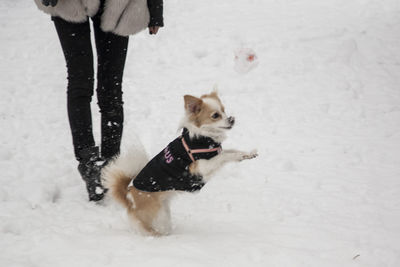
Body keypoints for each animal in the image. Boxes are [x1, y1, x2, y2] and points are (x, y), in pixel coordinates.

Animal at [102, 92, 256, 237]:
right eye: (215, 115)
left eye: (224, 110)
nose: (232, 118)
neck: (202, 137)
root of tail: (129, 198)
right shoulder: (200, 167)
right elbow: (225, 156)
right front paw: (239, 155)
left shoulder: (214, 155)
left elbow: (232, 151)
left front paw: (247, 154)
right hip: (158, 216)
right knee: (152, 231)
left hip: (164, 213)